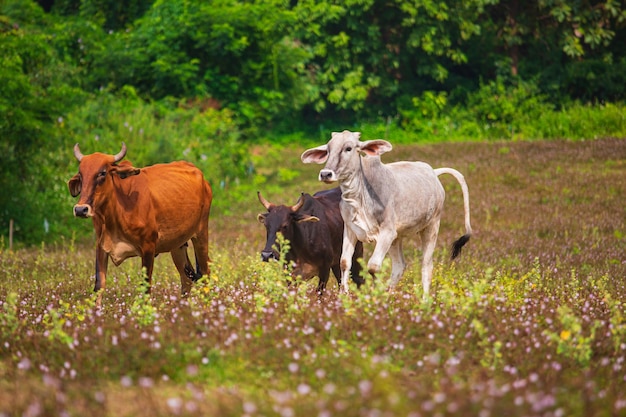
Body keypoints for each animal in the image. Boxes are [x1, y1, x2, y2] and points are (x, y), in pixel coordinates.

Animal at [67, 143, 211, 302]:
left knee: (205, 272)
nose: (81, 209)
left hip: (201, 234)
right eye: (80, 175)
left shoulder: (148, 247)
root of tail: (202, 178)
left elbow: (145, 286)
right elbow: (99, 285)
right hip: (178, 244)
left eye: (102, 173)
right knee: (187, 278)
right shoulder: (101, 246)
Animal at [300, 130, 470, 296]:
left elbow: (373, 266)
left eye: (348, 148)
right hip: (397, 237)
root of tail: (433, 172)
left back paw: (424, 300)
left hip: (431, 226)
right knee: (400, 265)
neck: (359, 197)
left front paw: (376, 292)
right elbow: (344, 262)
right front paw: (344, 294)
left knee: (426, 266)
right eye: (328, 150)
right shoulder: (350, 230)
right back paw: (389, 294)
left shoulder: (387, 232)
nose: (325, 174)